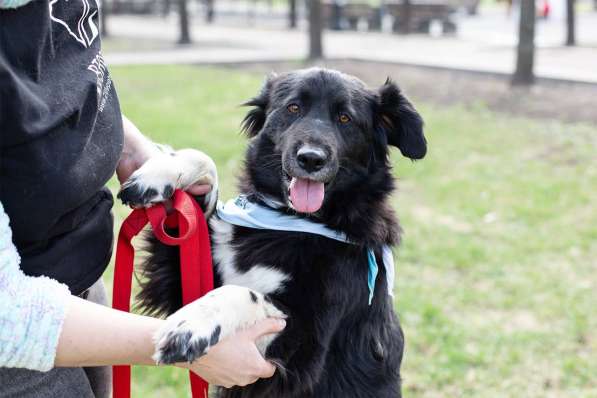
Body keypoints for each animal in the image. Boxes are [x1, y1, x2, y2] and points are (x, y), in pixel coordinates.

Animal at [118, 67, 424, 396]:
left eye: (345, 118)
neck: (293, 222)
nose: (311, 159)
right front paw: (158, 173)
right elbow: (202, 168)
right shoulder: (181, 280)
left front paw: (190, 326)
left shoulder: (301, 350)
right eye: (293, 108)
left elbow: (242, 293)